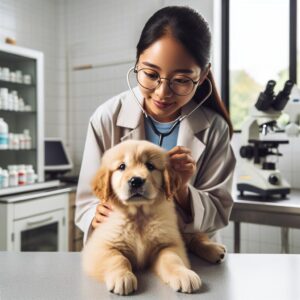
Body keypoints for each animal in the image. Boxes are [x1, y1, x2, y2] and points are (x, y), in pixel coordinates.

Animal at [82, 140, 225, 296]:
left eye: (150, 166)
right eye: (122, 166)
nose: (136, 181)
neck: (139, 215)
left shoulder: (168, 243)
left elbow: (172, 259)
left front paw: (183, 274)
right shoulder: (100, 246)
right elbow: (118, 258)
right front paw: (122, 276)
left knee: (195, 237)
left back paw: (214, 249)